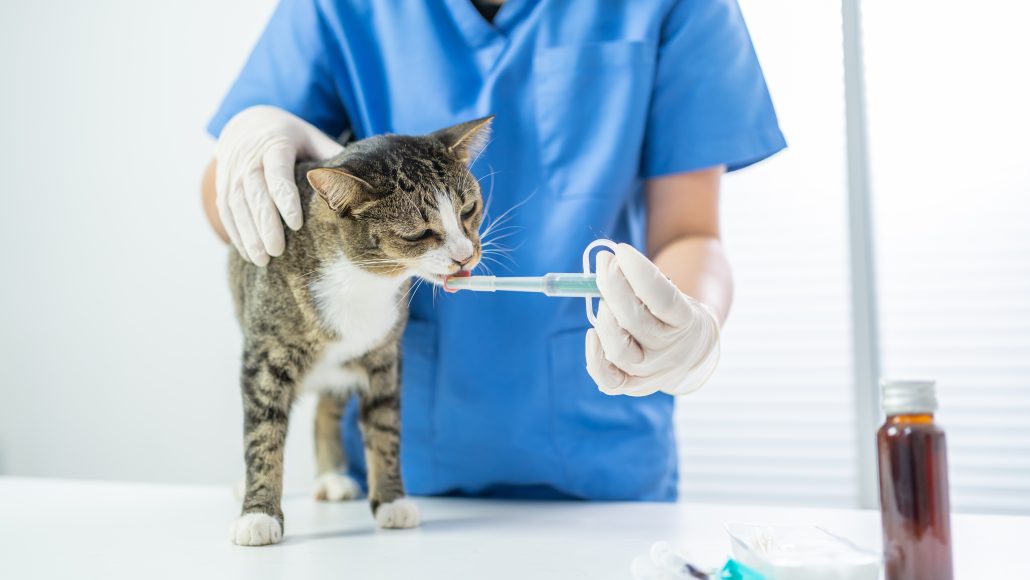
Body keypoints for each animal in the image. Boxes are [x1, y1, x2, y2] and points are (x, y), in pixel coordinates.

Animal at [228, 116, 490, 543]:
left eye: (469, 208)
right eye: (418, 233)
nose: (465, 256)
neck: (358, 281)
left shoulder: (384, 356)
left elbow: (385, 430)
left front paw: (391, 501)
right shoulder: (265, 355)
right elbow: (262, 434)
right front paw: (259, 514)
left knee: (327, 409)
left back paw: (332, 477)